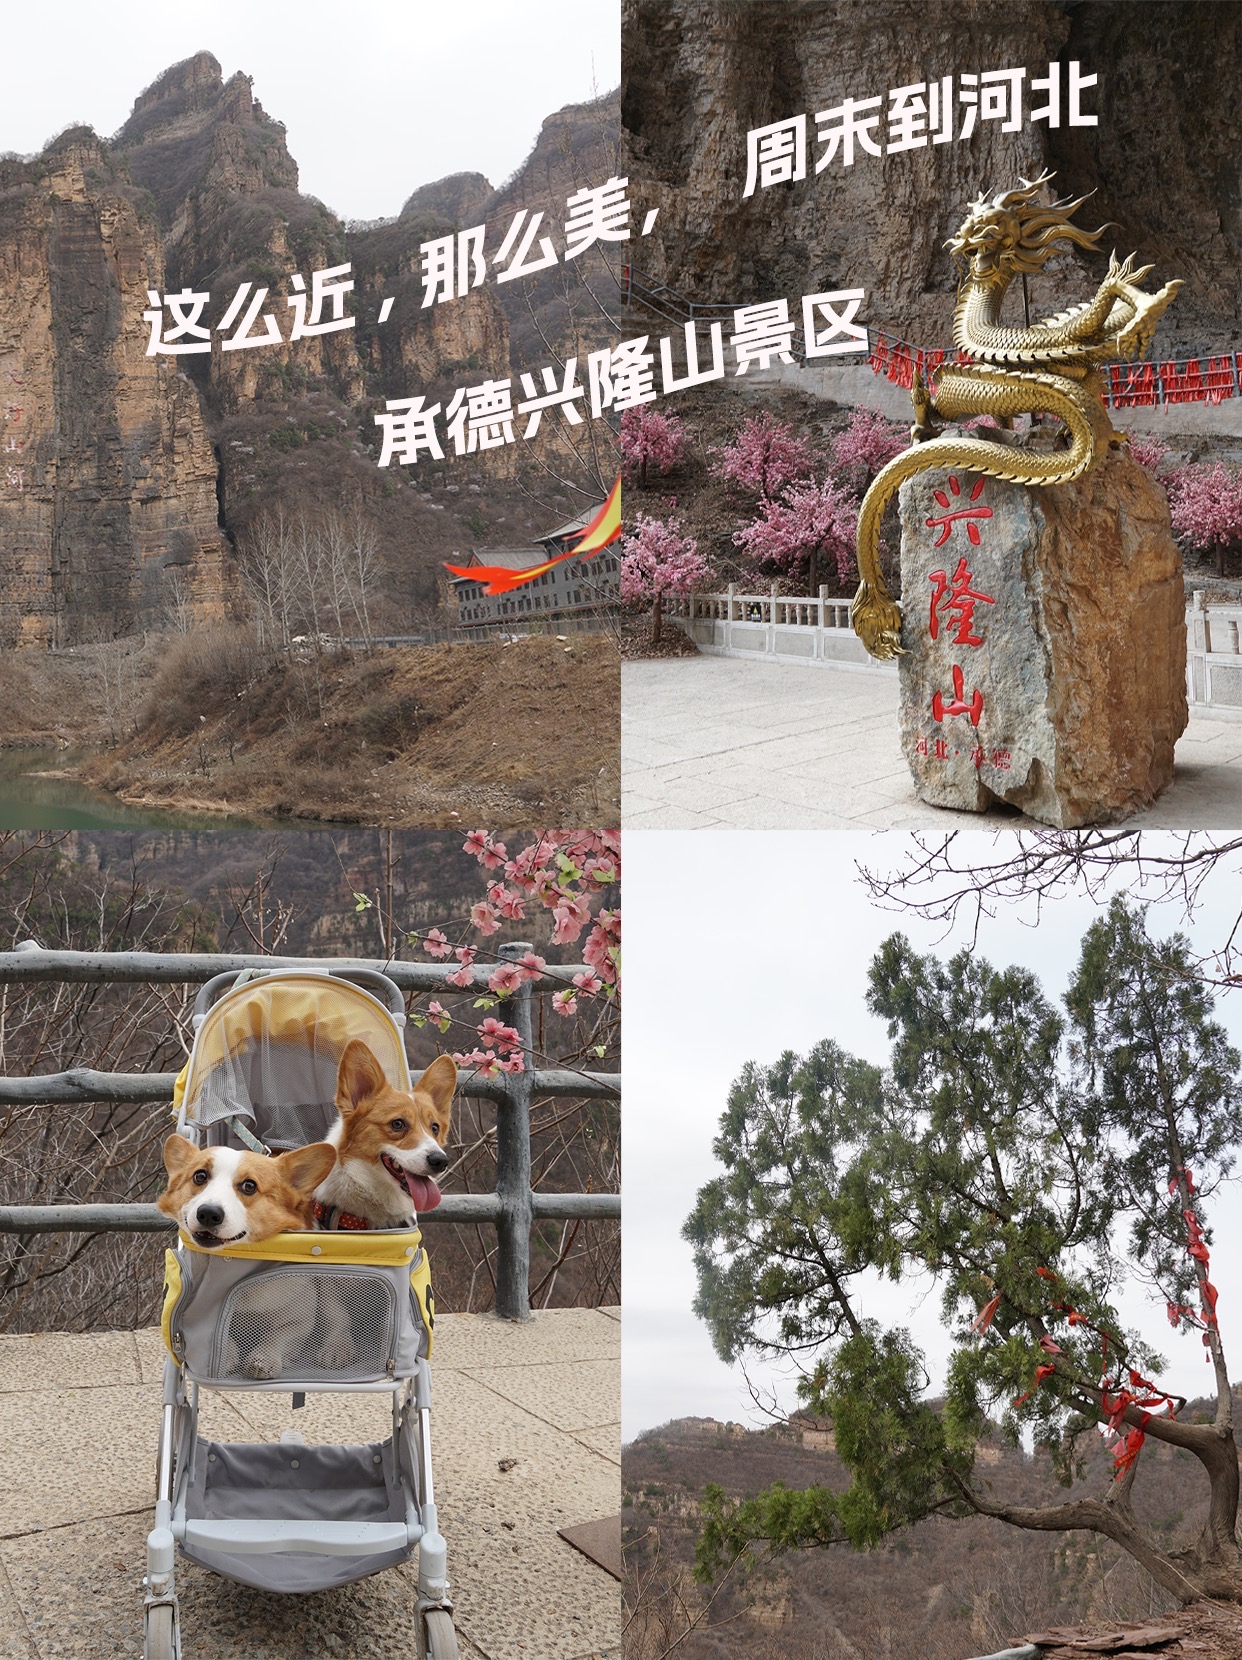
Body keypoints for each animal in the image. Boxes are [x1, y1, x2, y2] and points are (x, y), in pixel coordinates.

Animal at [157, 1135, 337, 1381]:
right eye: (200, 1176)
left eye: (249, 1186)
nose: (208, 1214)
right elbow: (223, 1334)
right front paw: (228, 1355)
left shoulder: (300, 1318)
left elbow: (277, 1337)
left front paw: (262, 1360)